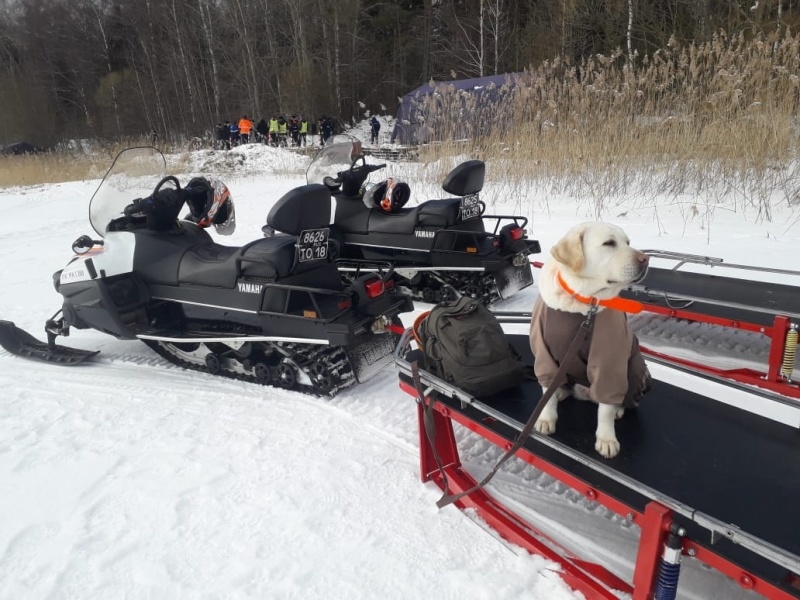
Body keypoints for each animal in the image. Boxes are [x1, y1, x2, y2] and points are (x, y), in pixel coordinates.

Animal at [528, 223, 652, 458]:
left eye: (628, 242)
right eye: (609, 243)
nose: (645, 259)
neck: (582, 303)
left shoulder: (609, 362)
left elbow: (605, 410)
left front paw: (606, 438)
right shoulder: (543, 352)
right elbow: (546, 390)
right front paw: (546, 417)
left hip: (634, 368)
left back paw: (618, 408)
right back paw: (560, 391)